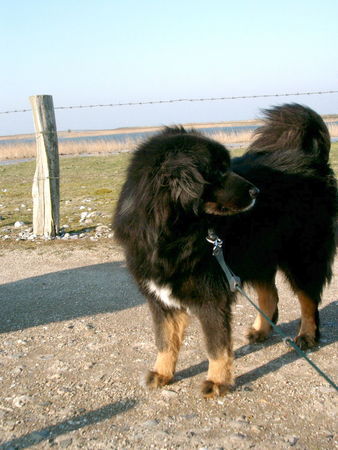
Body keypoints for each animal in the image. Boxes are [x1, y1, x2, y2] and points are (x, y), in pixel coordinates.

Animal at [113, 104, 336, 398]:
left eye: (227, 166)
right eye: (217, 172)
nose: (256, 191)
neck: (171, 234)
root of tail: (312, 159)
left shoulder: (211, 297)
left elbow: (216, 346)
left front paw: (217, 381)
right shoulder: (161, 299)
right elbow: (165, 341)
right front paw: (162, 373)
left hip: (302, 256)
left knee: (308, 300)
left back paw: (307, 336)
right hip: (257, 254)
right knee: (270, 295)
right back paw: (261, 330)